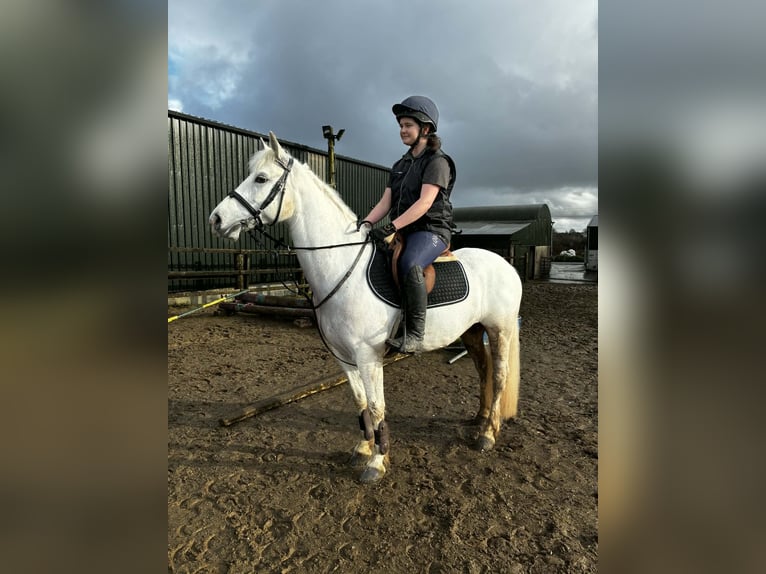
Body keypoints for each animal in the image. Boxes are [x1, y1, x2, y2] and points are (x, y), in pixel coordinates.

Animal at [209, 132, 522, 483]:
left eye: (261, 179)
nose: (216, 219)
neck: (343, 266)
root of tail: (505, 264)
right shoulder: (343, 355)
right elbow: (360, 402)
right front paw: (363, 448)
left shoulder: (368, 355)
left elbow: (376, 406)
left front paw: (377, 462)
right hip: (471, 331)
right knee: (483, 370)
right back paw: (479, 421)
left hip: (501, 330)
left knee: (499, 375)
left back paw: (488, 434)